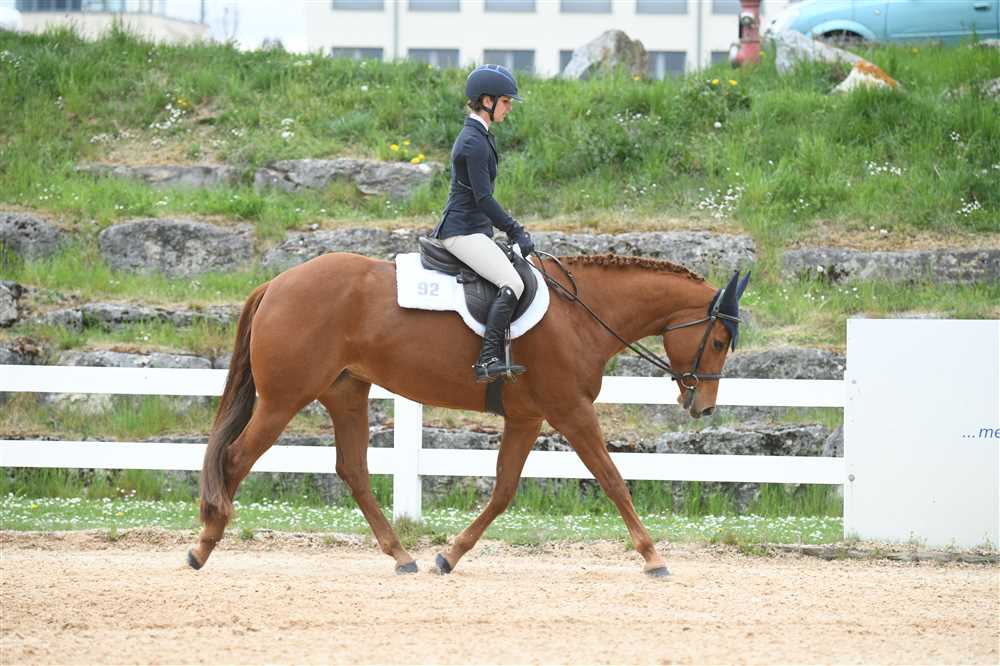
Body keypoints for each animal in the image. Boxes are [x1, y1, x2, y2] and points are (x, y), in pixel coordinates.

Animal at [187, 250, 749, 577]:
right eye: (720, 341)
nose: (703, 407)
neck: (581, 313)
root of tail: (277, 283)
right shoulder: (570, 410)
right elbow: (612, 479)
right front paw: (653, 557)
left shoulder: (527, 417)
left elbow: (503, 490)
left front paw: (450, 554)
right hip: (285, 399)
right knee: (235, 459)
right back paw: (203, 545)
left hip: (345, 393)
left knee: (353, 471)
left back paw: (403, 555)